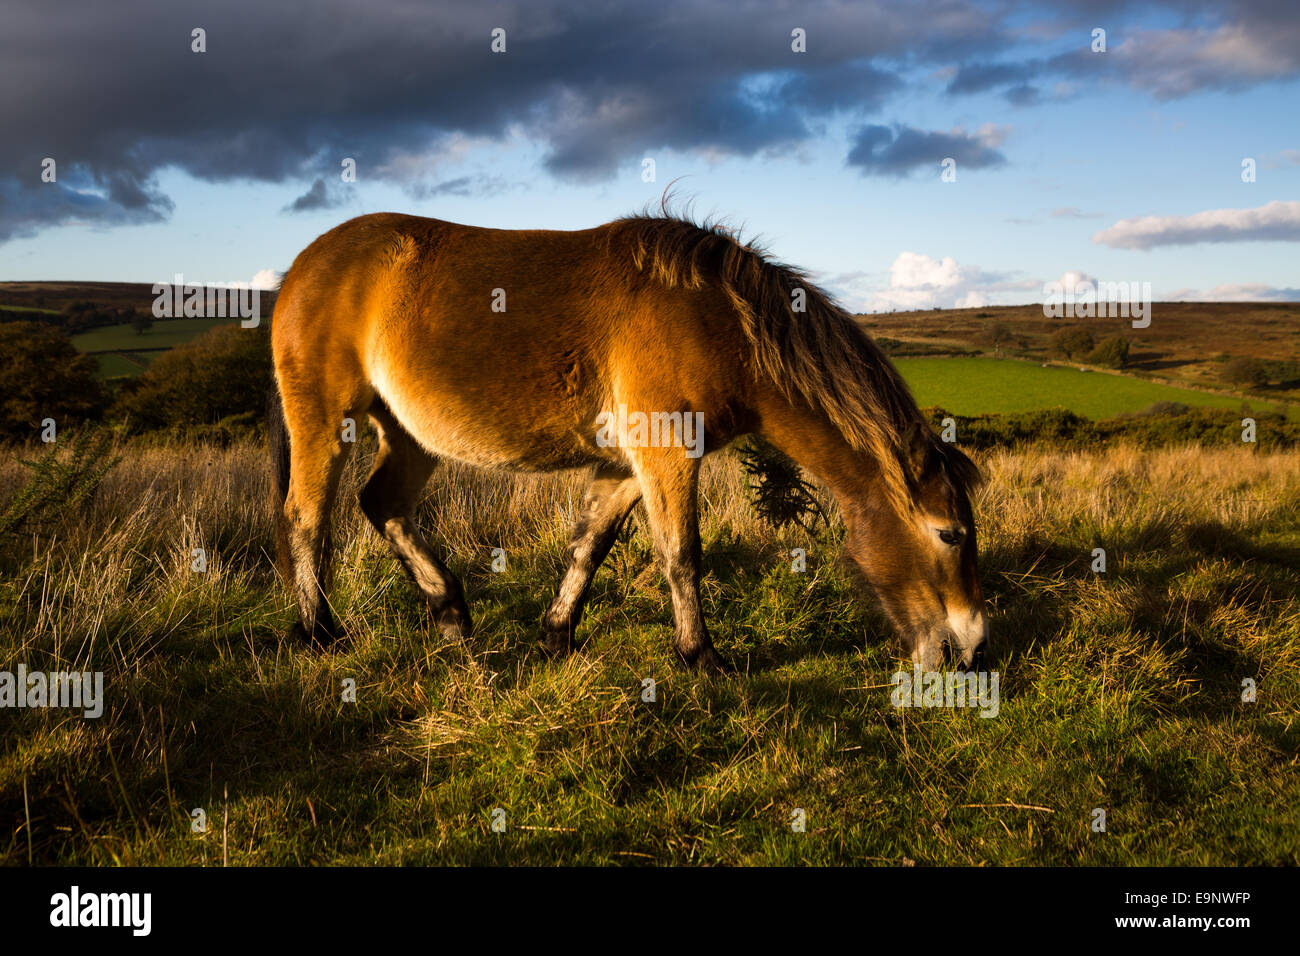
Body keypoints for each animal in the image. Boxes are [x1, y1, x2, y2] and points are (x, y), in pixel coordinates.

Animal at [269, 210, 987, 671]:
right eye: (949, 534)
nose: (972, 647)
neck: (720, 320)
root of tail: (300, 267)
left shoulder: (624, 467)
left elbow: (590, 547)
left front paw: (557, 636)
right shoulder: (666, 455)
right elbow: (682, 555)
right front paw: (701, 656)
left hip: (410, 436)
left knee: (383, 505)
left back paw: (452, 615)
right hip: (325, 421)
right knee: (306, 518)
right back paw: (322, 632)